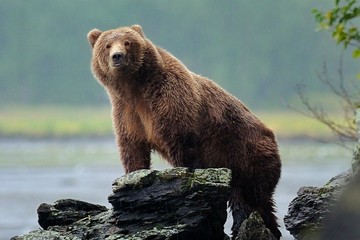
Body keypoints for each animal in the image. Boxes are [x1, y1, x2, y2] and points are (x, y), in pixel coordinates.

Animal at [87, 24, 282, 240]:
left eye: (127, 42)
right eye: (107, 45)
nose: (117, 56)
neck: (136, 88)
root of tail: (271, 134)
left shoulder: (170, 100)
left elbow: (181, 143)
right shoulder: (128, 112)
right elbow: (133, 148)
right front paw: (133, 175)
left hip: (245, 152)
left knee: (252, 198)